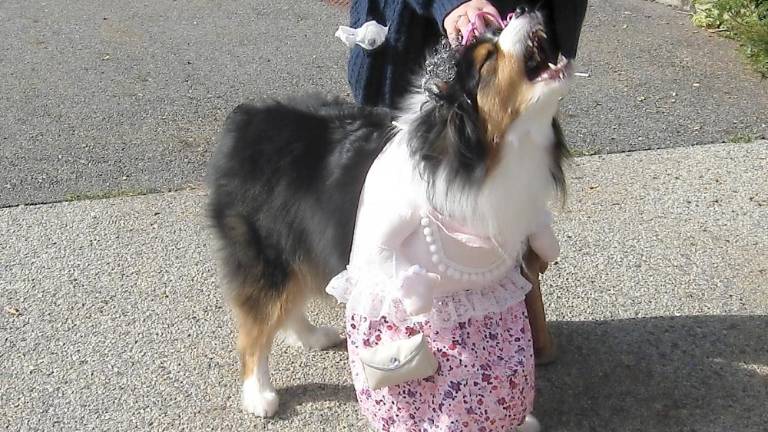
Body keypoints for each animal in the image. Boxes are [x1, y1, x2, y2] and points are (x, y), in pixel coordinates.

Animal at [207, 6, 568, 420]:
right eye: (487, 58)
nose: (525, 9)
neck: (476, 154)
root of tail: (245, 122)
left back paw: (312, 336)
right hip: (266, 250)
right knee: (257, 324)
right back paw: (259, 393)